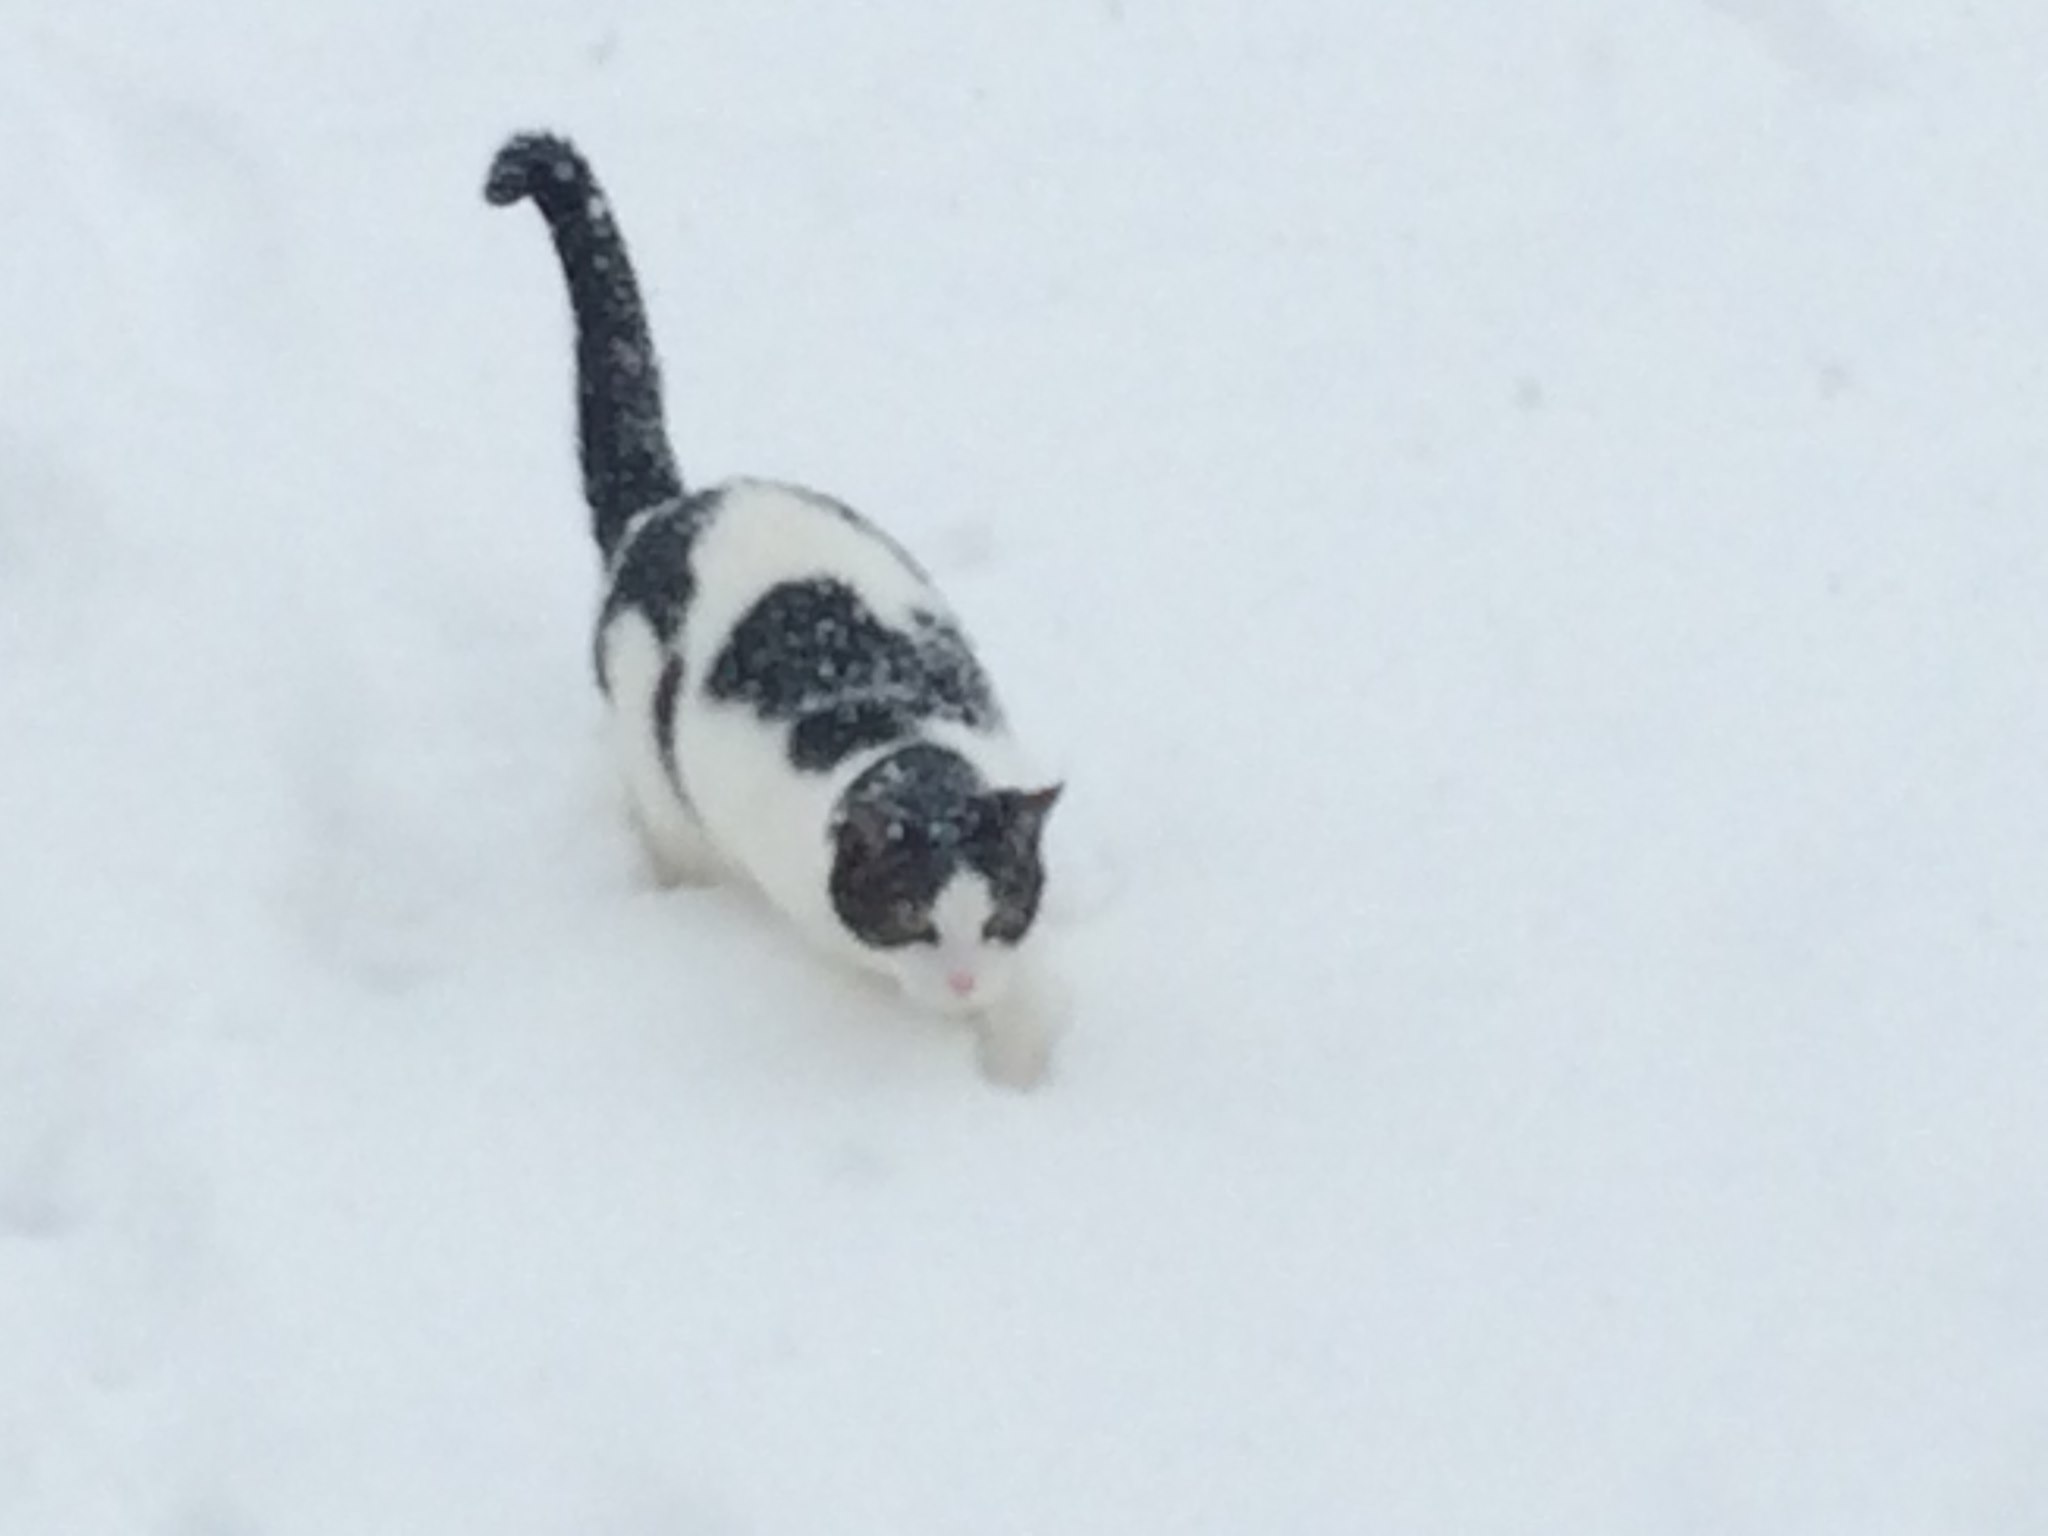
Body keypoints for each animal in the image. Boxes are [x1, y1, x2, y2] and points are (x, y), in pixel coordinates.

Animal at [487, 135, 1073, 1097]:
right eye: (912, 916)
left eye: (1000, 916)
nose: (960, 983)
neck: (898, 741)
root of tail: (671, 509)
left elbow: (1026, 1007)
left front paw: (1018, 1071)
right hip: (661, 784)